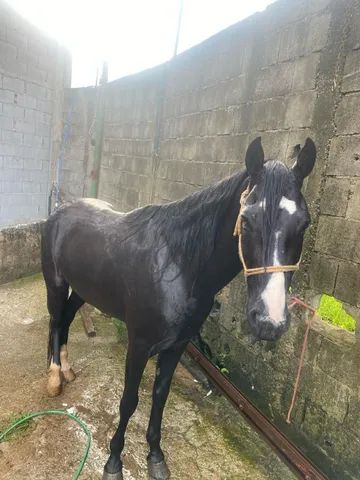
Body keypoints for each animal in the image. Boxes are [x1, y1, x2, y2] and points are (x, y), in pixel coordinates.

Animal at [40, 136, 316, 480]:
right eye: (247, 219)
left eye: (303, 223)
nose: (270, 320)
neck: (178, 265)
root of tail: (60, 211)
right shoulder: (139, 345)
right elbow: (129, 401)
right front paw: (113, 461)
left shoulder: (177, 345)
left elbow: (160, 396)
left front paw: (156, 456)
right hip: (55, 283)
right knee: (55, 321)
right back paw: (54, 378)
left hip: (82, 290)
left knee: (65, 321)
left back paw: (66, 369)